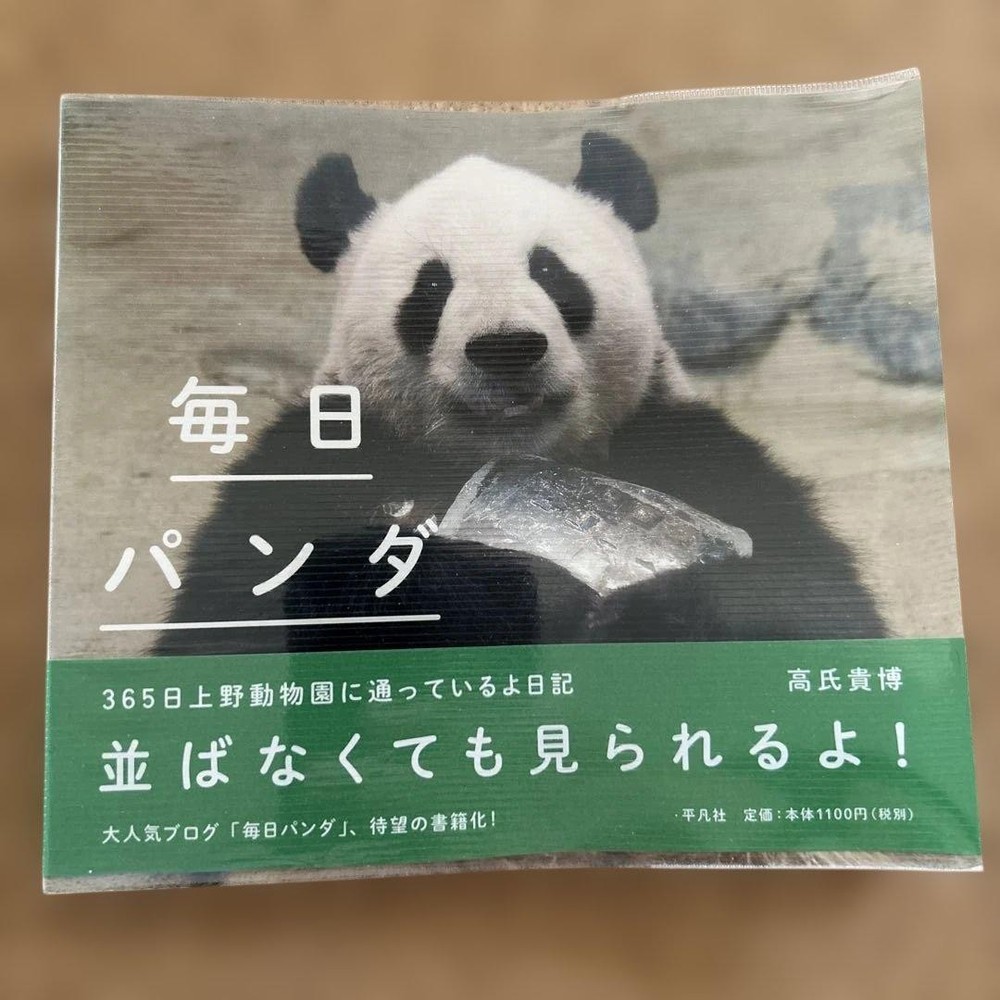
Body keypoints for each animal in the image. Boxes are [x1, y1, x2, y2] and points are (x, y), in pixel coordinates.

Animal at [155, 132, 885, 657]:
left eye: (550, 271)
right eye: (431, 287)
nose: (506, 346)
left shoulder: (691, 449)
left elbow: (810, 608)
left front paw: (644, 604)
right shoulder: (314, 462)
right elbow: (234, 619)